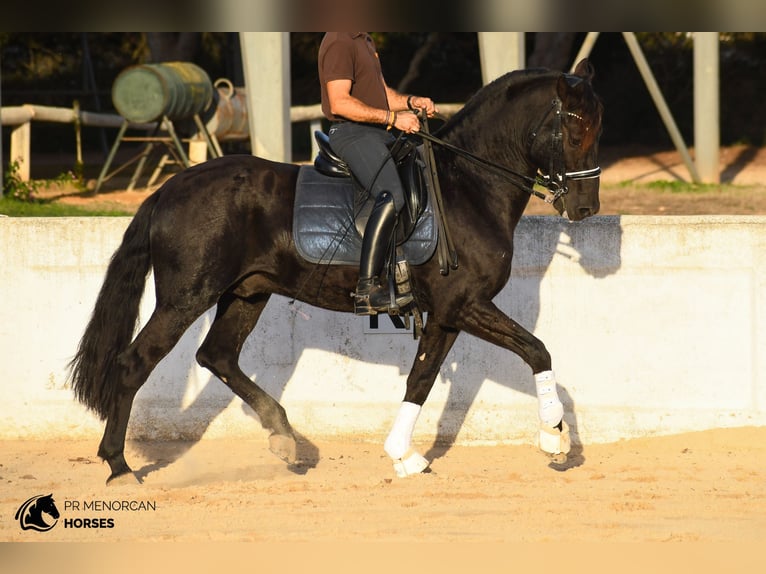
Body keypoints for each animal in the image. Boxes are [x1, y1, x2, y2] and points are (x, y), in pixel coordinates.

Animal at [70, 58, 603, 484]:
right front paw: (554, 437)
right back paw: (119, 466)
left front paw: (403, 456)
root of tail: (170, 188)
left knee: (217, 356)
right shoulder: (463, 304)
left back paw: (285, 440)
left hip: (246, 293)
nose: (586, 208)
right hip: (186, 297)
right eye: (575, 132)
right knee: (135, 363)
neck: (468, 187)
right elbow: (534, 349)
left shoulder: (449, 313)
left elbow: (422, 379)